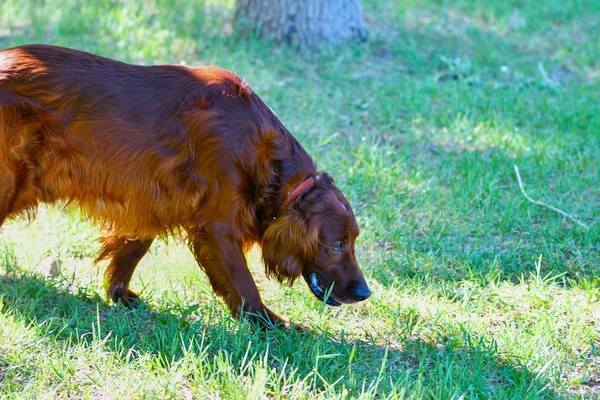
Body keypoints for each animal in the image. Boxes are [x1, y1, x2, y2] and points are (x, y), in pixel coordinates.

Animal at [0, 45, 370, 328]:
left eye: (352, 241)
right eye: (337, 244)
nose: (365, 293)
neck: (261, 150)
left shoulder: (150, 198)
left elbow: (131, 249)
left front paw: (119, 295)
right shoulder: (218, 227)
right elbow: (244, 283)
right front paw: (268, 322)